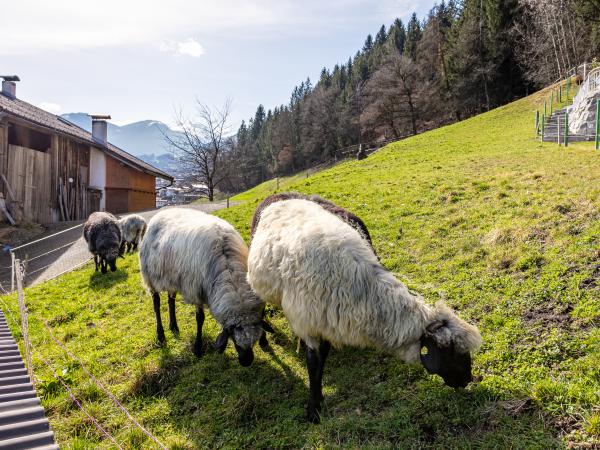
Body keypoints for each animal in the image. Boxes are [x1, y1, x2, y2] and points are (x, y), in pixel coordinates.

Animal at [138, 207, 272, 366]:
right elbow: (200, 318)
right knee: (156, 304)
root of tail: (161, 212)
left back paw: (174, 326)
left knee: (171, 301)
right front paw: (197, 348)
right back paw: (161, 335)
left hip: (172, 278)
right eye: (234, 338)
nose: (246, 362)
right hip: (150, 276)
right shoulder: (197, 290)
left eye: (254, 341)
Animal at [248, 199, 482, 424]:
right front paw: (314, 409)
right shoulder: (309, 322)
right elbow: (313, 364)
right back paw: (264, 339)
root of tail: (279, 200)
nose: (467, 380)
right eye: (450, 351)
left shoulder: (327, 319)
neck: (361, 290)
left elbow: (322, 356)